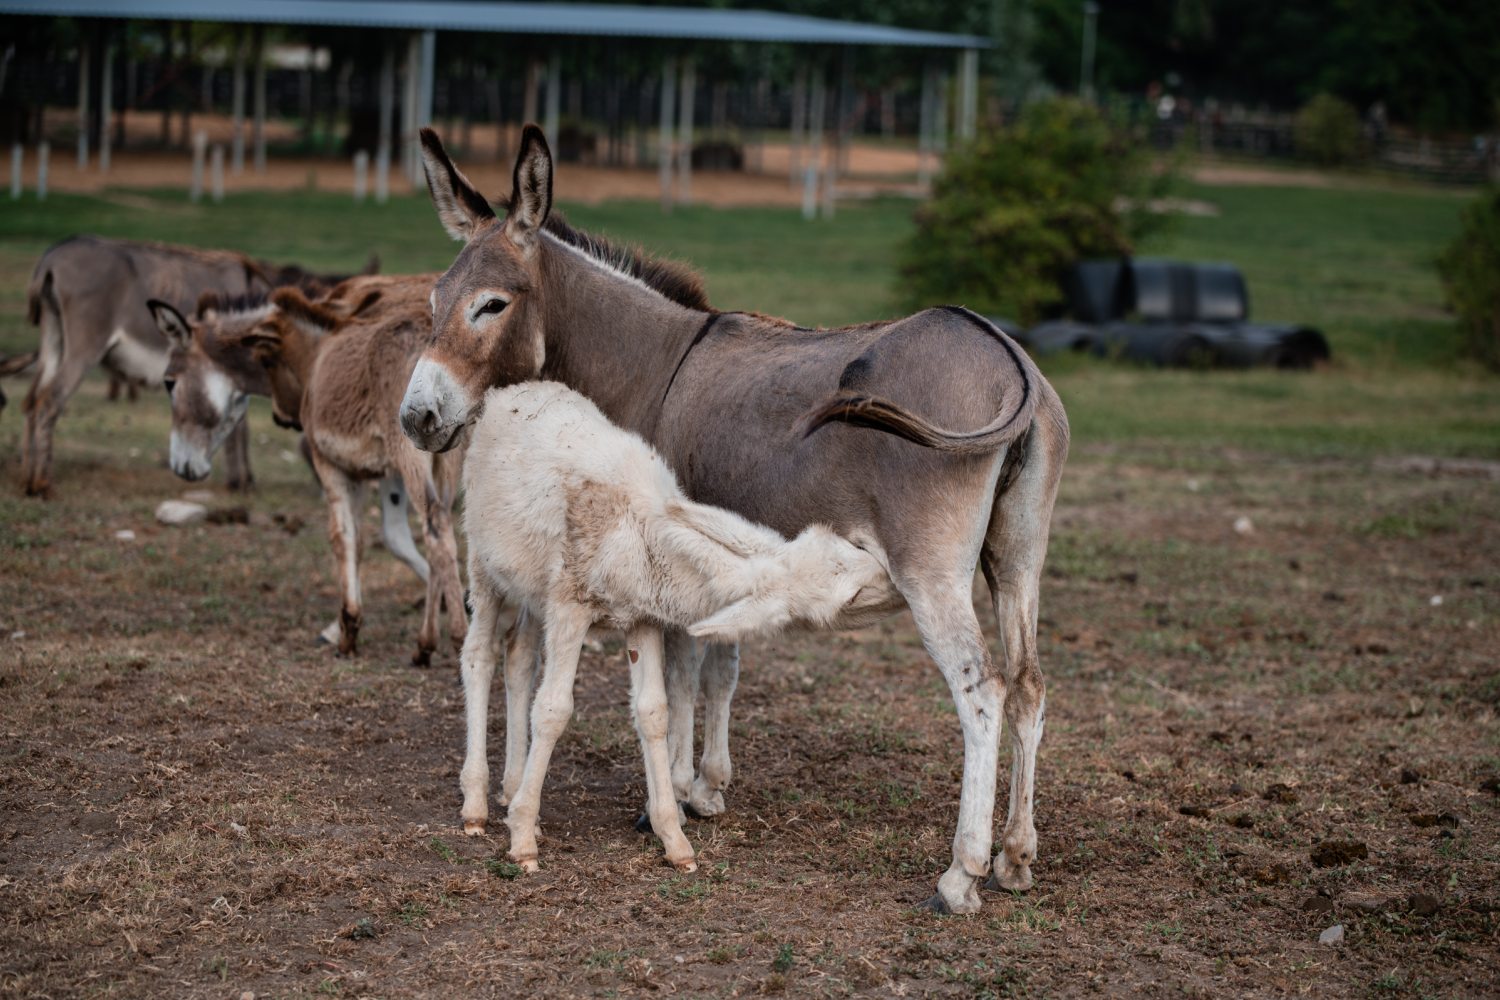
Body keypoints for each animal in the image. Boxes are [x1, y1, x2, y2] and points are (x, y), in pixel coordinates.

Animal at [459, 379, 888, 869]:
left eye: (847, 546)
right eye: (852, 595)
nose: (892, 576)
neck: (640, 533)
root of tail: (511, 391)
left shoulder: (641, 617)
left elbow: (654, 712)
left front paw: (674, 840)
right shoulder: (570, 604)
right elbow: (553, 709)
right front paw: (522, 839)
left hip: (531, 588)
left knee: (519, 659)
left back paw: (510, 788)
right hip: (482, 562)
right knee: (478, 657)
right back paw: (476, 806)